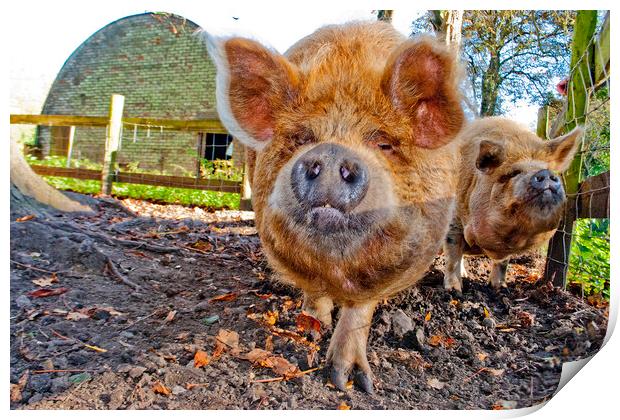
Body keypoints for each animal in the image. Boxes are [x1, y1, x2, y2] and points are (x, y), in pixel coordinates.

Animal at [206, 21, 462, 392]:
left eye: (383, 143)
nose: (329, 153)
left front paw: (350, 383)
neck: (337, 268)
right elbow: (313, 290)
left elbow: (360, 310)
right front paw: (313, 327)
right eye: (301, 138)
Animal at [444, 116, 584, 290]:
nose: (545, 173)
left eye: (548, 169)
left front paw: (499, 288)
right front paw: (454, 290)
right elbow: (453, 255)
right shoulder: (453, 220)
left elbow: (503, 263)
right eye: (513, 173)